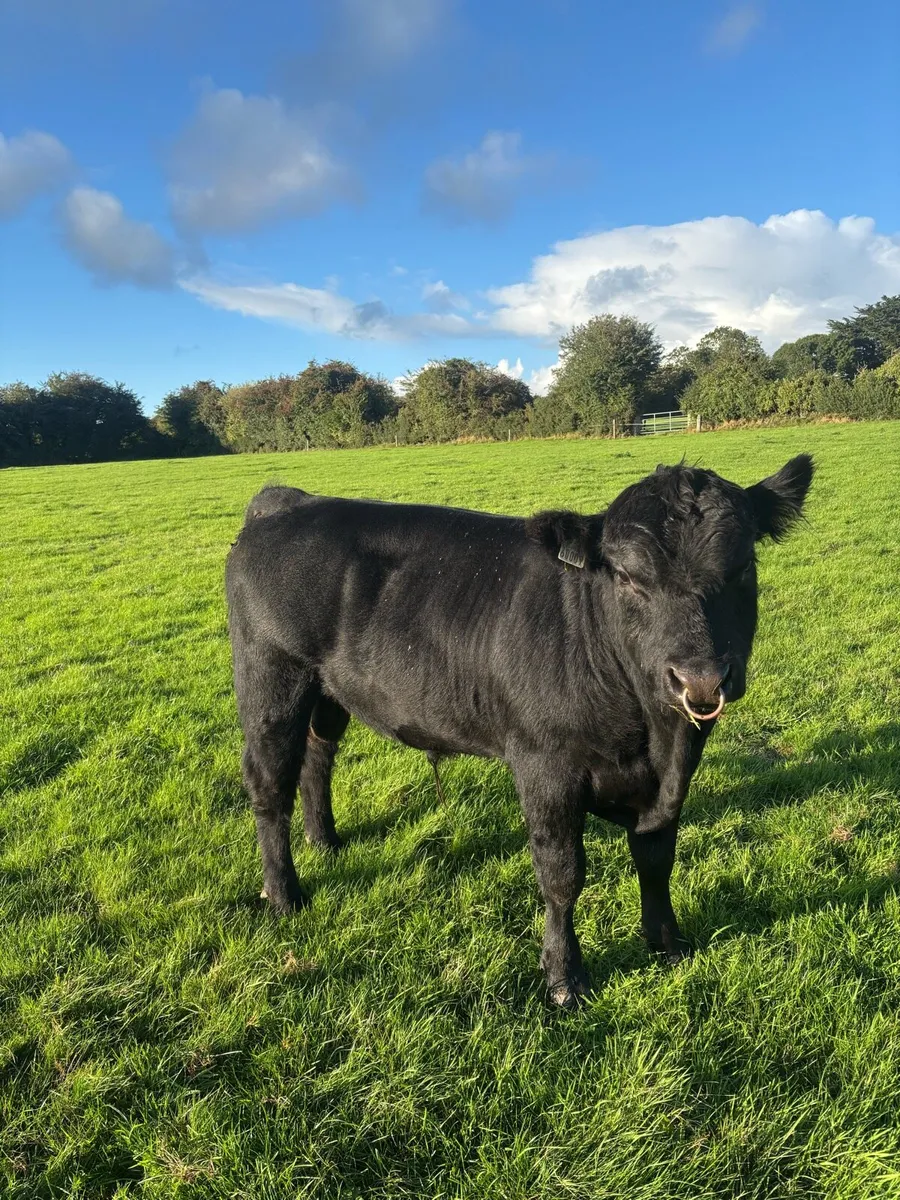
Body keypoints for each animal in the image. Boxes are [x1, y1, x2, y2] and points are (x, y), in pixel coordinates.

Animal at [225, 454, 813, 1006]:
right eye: (627, 577)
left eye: (744, 565)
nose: (700, 678)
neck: (651, 736)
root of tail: (290, 501)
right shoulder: (544, 765)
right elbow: (562, 874)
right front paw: (564, 978)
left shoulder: (672, 777)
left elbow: (656, 858)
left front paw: (667, 943)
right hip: (271, 679)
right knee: (268, 782)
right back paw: (284, 894)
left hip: (328, 692)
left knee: (317, 756)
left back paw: (325, 840)